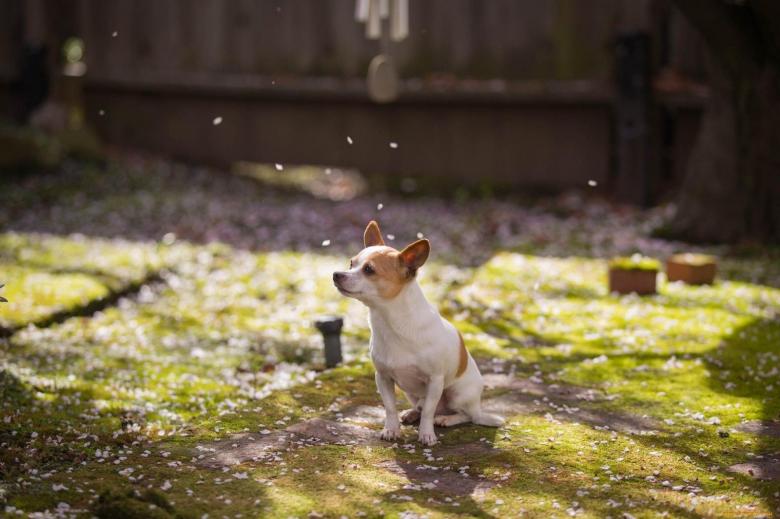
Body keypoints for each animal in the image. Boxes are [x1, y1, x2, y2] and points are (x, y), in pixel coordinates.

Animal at [330, 221, 502, 444]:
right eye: (351, 263)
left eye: (369, 269)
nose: (336, 274)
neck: (391, 322)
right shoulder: (383, 378)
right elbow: (390, 407)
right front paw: (391, 429)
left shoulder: (435, 380)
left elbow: (429, 412)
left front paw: (426, 434)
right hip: (412, 393)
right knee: (422, 405)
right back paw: (412, 413)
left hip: (457, 394)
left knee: (465, 415)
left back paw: (446, 419)